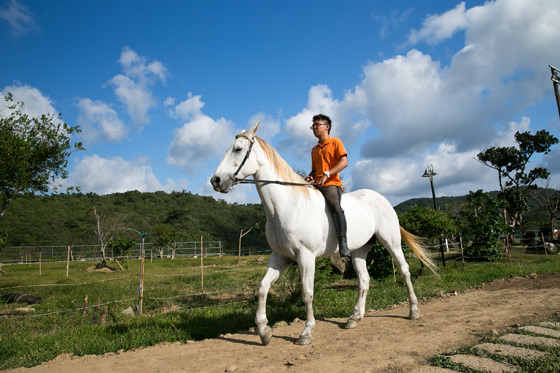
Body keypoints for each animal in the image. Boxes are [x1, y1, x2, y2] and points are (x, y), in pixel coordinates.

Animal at [211, 123, 438, 346]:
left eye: (238, 149)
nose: (215, 180)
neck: (287, 206)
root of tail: (381, 199)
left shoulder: (305, 256)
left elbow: (307, 293)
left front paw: (306, 332)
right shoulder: (280, 257)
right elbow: (262, 288)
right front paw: (263, 331)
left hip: (391, 242)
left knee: (404, 270)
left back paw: (413, 311)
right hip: (359, 250)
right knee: (364, 280)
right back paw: (354, 318)